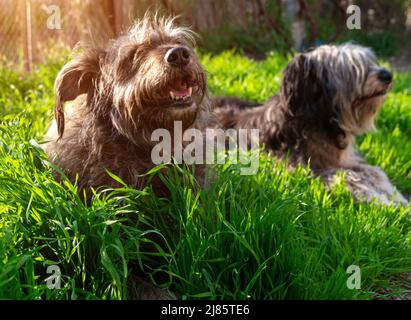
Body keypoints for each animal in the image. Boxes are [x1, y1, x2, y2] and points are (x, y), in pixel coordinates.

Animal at [216, 43, 408, 206]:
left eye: (369, 61)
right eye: (352, 68)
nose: (387, 75)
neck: (318, 120)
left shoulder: (345, 159)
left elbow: (374, 171)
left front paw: (397, 198)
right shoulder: (298, 168)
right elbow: (348, 175)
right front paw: (379, 200)